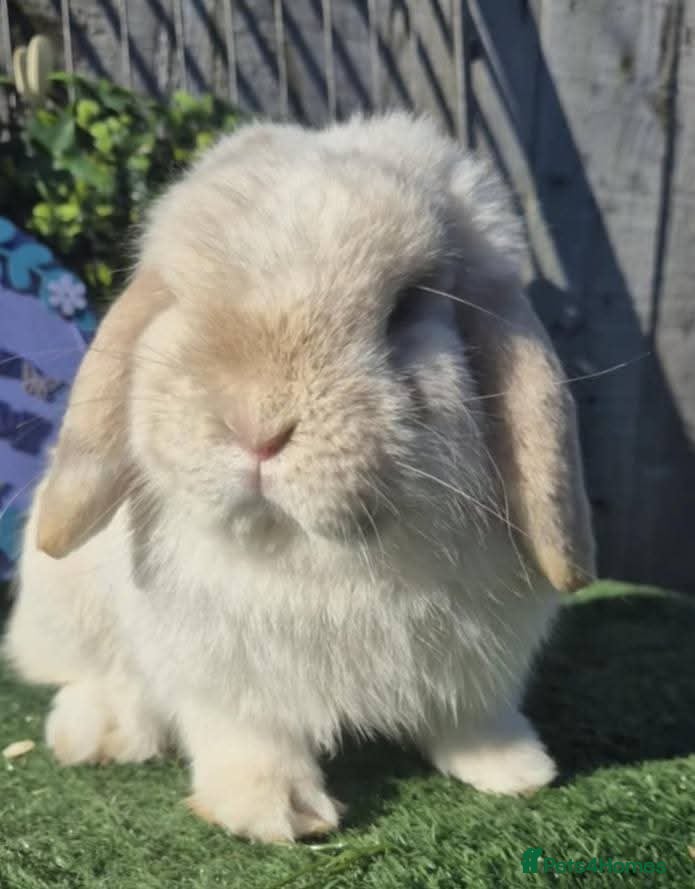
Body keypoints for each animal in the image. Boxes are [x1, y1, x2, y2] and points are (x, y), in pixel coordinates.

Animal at [4, 112, 595, 843]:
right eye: (181, 300)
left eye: (407, 306)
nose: (255, 424)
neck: (315, 554)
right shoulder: (224, 677)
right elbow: (249, 738)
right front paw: (273, 813)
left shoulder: (481, 662)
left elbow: (473, 714)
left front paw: (514, 769)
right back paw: (101, 732)